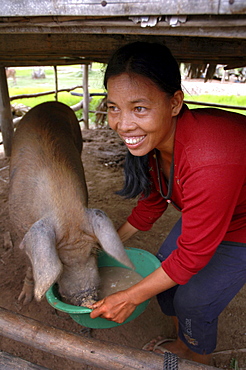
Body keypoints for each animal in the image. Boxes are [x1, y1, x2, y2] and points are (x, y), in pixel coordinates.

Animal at [8, 101, 134, 306]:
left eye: (93, 251)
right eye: (61, 261)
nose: (87, 297)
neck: (63, 207)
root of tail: (51, 102)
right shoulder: (20, 230)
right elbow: (30, 266)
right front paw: (24, 300)